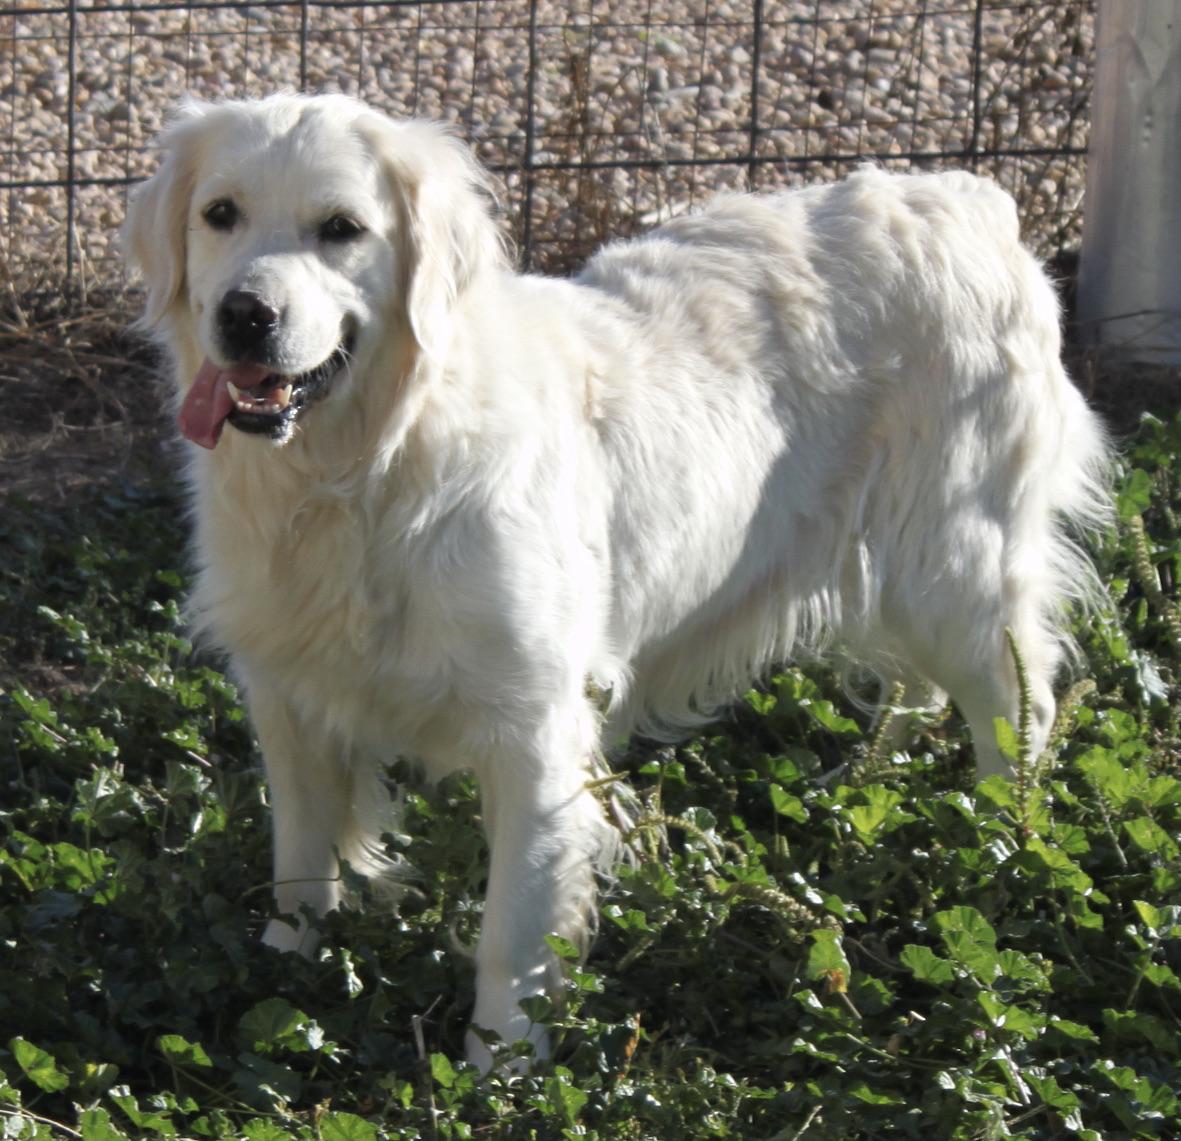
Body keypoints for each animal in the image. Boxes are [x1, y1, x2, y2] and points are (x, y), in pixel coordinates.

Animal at [124, 93, 1109, 1070]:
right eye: (220, 213)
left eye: (341, 228)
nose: (245, 314)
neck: (368, 469)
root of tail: (967, 198)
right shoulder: (286, 691)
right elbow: (300, 860)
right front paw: (285, 970)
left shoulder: (530, 725)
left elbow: (513, 924)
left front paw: (498, 1064)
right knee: (914, 686)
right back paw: (860, 784)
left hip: (957, 565)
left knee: (1015, 710)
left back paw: (998, 847)